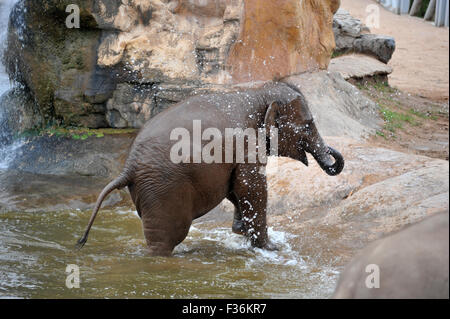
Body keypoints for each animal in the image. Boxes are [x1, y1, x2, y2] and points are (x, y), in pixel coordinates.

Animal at [77, 83, 344, 258]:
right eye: (308, 125)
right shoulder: (247, 143)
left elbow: (236, 188)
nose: (333, 153)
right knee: (168, 236)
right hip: (163, 188)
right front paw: (270, 248)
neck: (258, 91)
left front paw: (241, 232)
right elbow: (251, 186)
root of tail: (128, 167)